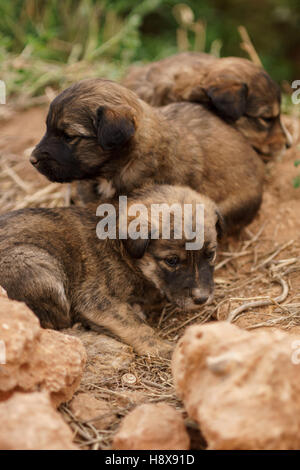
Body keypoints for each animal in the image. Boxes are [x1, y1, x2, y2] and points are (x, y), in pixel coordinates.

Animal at [0, 184, 223, 356]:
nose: (202, 299)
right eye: (172, 260)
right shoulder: (97, 300)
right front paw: (161, 347)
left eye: (211, 254)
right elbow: (135, 325)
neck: (120, 246)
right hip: (38, 265)